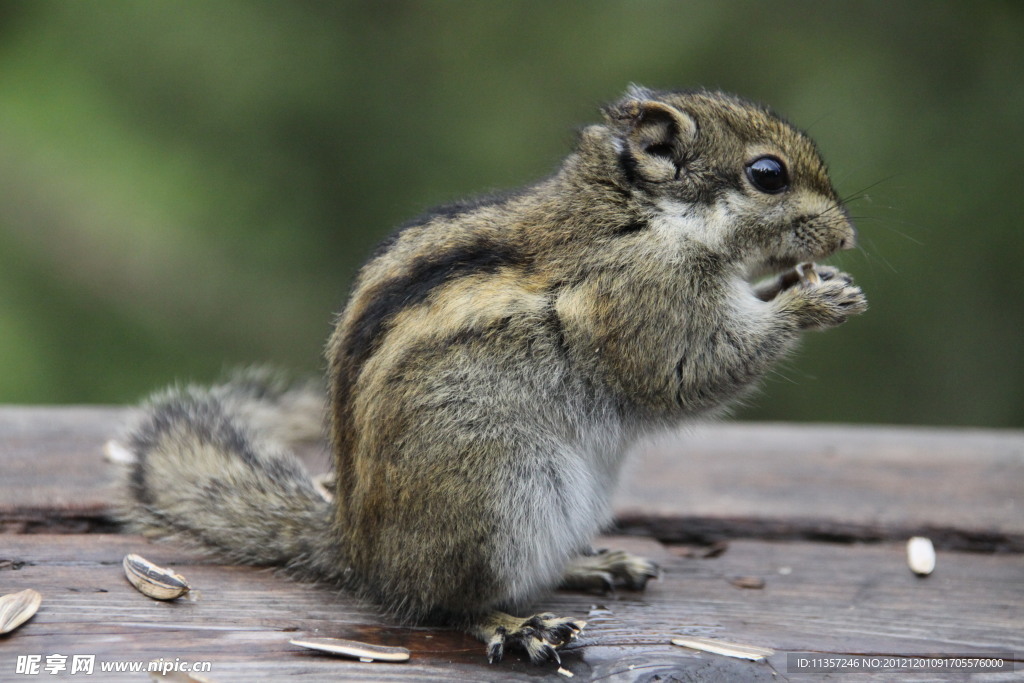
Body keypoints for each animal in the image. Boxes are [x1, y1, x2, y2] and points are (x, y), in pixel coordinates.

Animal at [123, 87, 868, 667]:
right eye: (767, 174)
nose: (847, 236)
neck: (647, 217)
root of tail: (360, 553)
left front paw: (807, 283)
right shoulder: (645, 303)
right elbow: (691, 371)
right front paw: (809, 303)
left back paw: (592, 564)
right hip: (499, 496)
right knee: (447, 605)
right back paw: (516, 626)